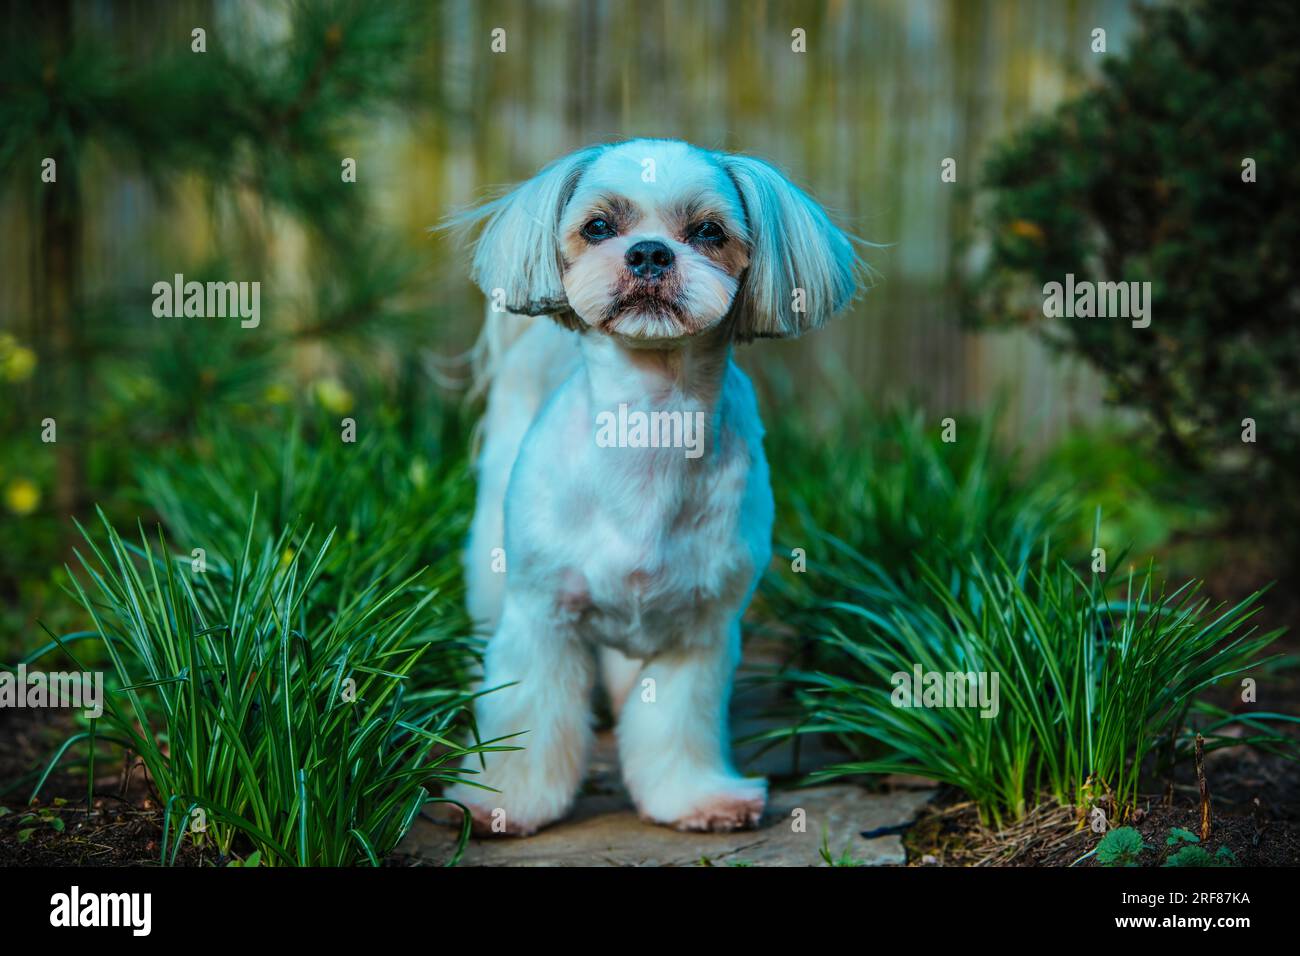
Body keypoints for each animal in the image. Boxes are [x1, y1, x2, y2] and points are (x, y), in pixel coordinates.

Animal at [444, 138, 863, 832]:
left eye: (709, 232)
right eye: (597, 228)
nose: (648, 253)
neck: (648, 424)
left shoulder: (702, 630)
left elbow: (676, 724)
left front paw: (695, 798)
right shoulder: (541, 617)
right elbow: (526, 715)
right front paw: (504, 799)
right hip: (494, 562)